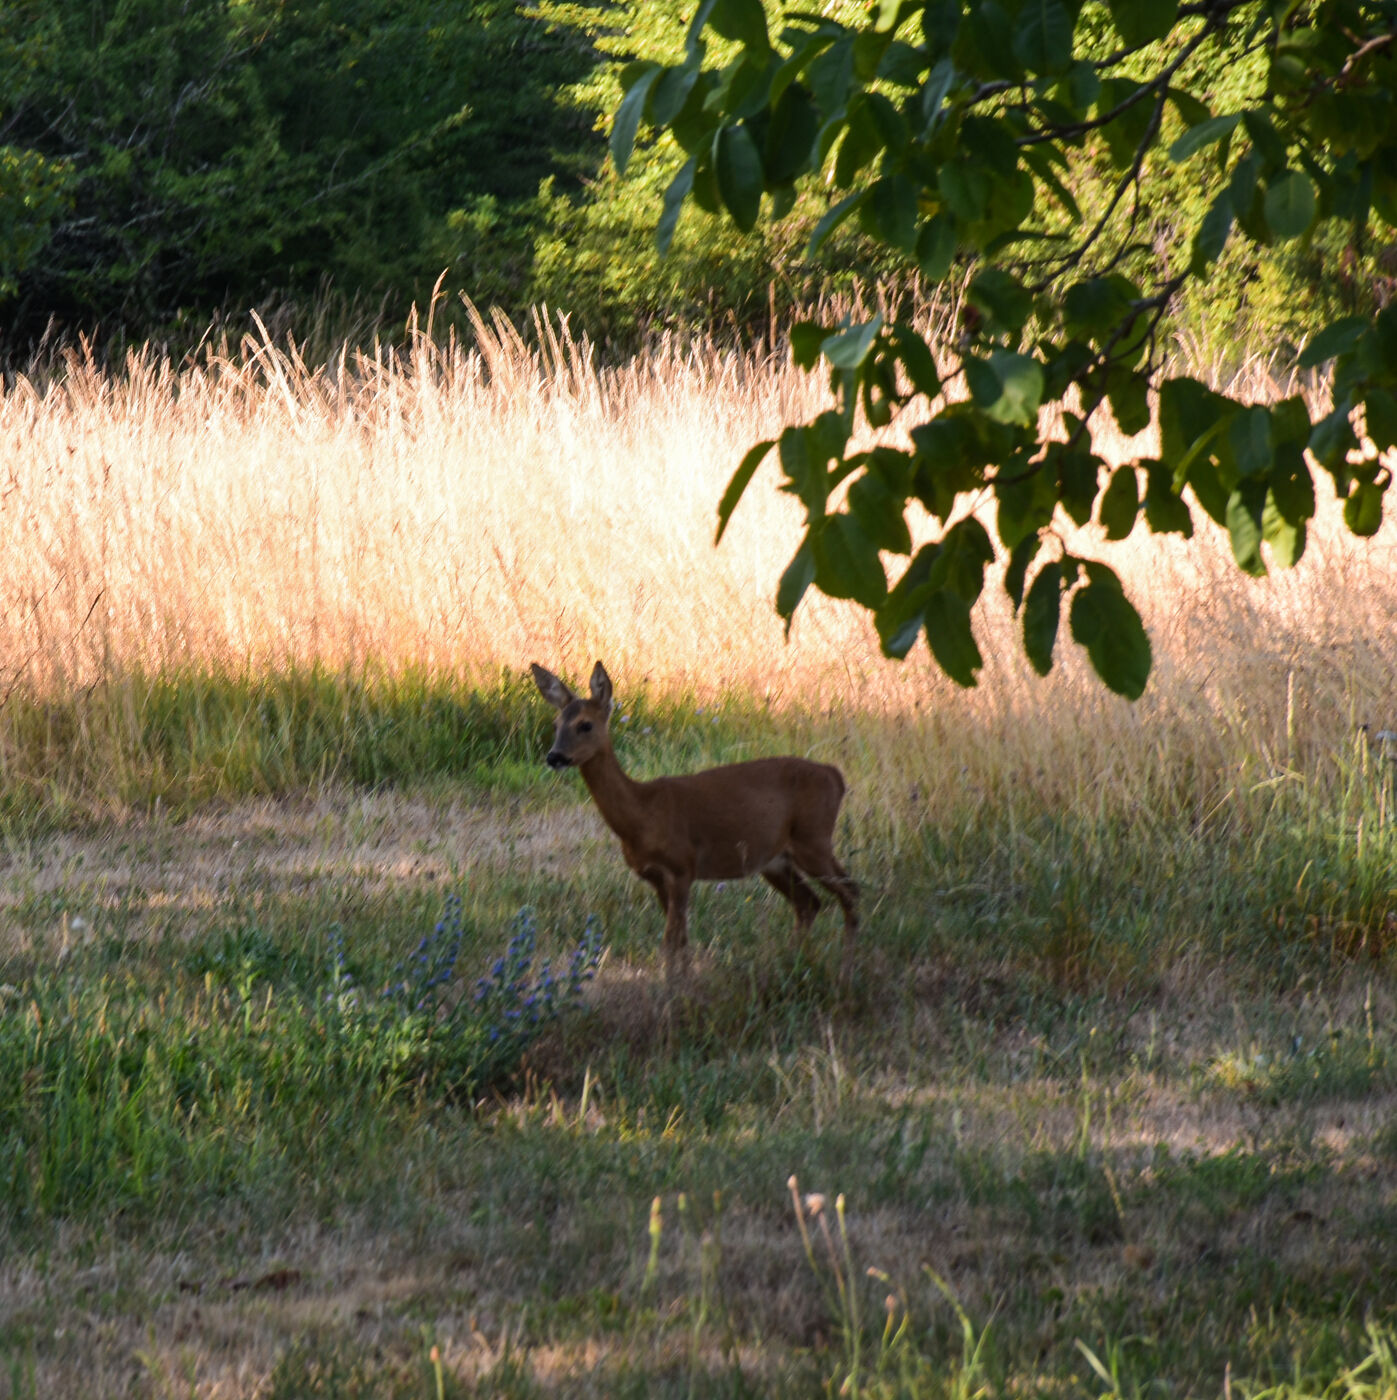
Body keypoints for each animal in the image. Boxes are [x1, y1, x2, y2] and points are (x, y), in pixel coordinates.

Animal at [531, 661, 859, 980]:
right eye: (556, 724)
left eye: (585, 724)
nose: (554, 756)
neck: (642, 815)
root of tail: (836, 776)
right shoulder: (656, 877)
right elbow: (682, 939)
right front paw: (683, 984)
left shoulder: (682, 866)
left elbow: (670, 941)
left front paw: (671, 991)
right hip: (775, 859)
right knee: (809, 903)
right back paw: (792, 964)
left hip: (813, 838)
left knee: (850, 891)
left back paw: (846, 970)